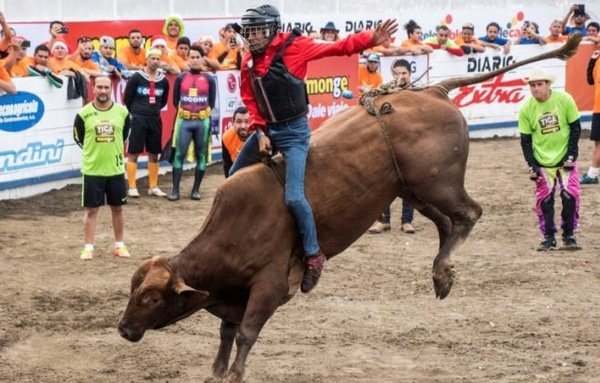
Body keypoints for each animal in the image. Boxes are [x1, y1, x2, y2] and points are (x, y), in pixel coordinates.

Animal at [118, 36, 580, 383]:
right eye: (132, 289)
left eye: (150, 297)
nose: (123, 329)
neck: (234, 229)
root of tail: (431, 90)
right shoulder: (230, 294)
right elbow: (226, 330)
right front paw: (216, 371)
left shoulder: (268, 285)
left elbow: (245, 332)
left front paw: (233, 374)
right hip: (412, 188)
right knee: (445, 223)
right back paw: (441, 274)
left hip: (439, 183)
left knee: (468, 214)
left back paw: (442, 270)